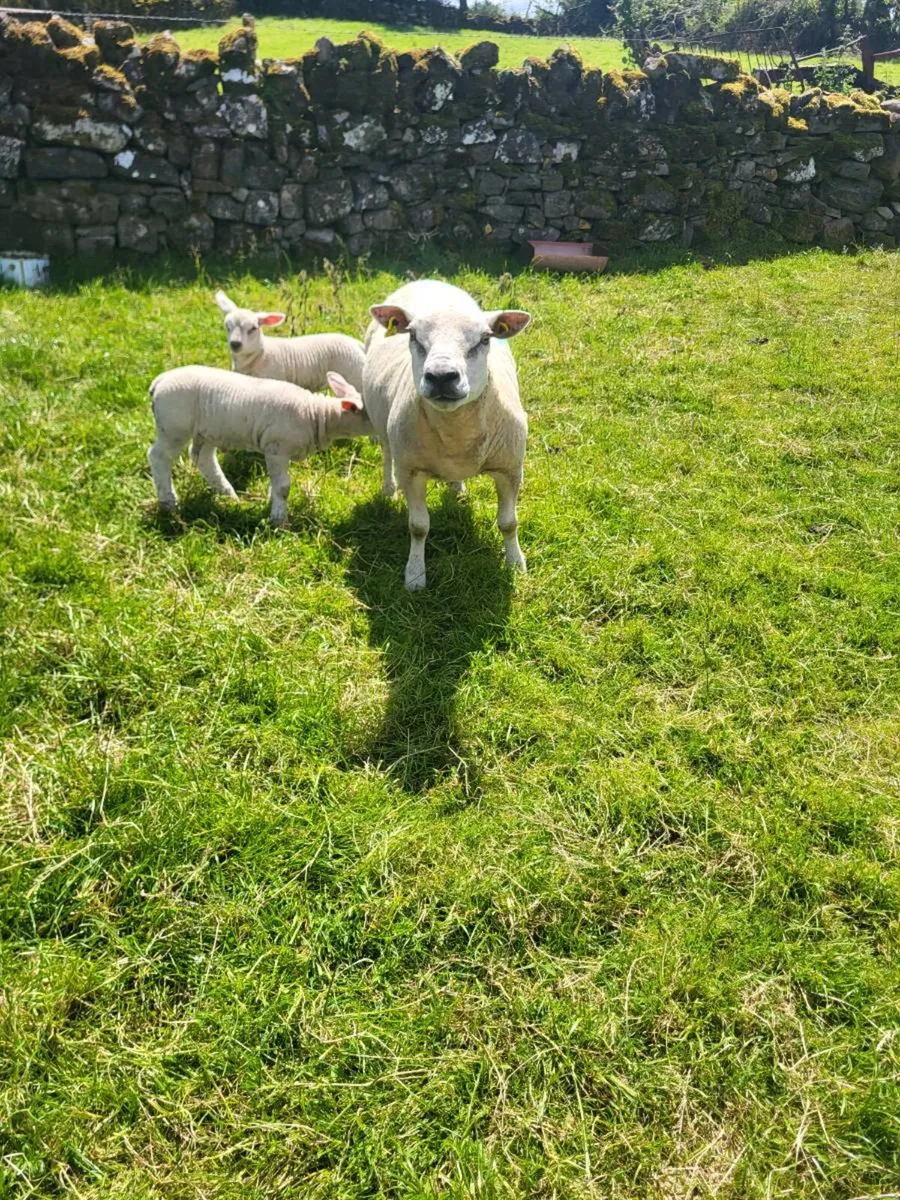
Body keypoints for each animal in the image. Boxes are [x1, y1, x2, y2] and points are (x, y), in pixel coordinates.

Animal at [148, 367, 372, 526]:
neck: (316, 414)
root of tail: (159, 381)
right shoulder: (276, 447)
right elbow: (283, 487)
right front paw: (279, 520)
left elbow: (276, 484)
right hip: (174, 428)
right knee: (158, 456)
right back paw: (169, 503)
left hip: (207, 431)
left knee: (202, 457)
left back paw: (228, 495)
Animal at [214, 290, 366, 392]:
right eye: (227, 326)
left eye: (253, 328)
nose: (235, 344)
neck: (261, 354)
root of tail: (357, 344)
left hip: (355, 377)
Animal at [364, 279, 531, 591]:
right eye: (413, 336)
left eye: (485, 338)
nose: (441, 376)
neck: (457, 434)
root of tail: (426, 281)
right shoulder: (411, 471)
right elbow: (418, 527)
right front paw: (415, 575)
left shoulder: (511, 468)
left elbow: (508, 523)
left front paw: (515, 564)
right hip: (383, 424)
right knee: (387, 452)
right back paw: (388, 489)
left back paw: (457, 488)